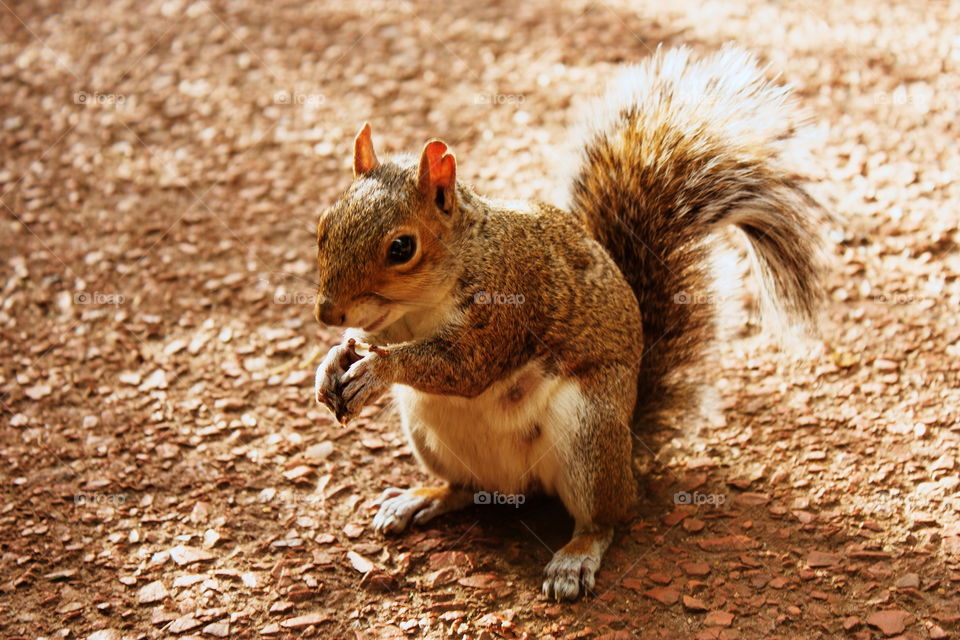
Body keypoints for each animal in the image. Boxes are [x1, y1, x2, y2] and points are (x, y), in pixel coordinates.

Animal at [312, 46, 823, 601]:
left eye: (402, 248)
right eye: (323, 225)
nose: (327, 313)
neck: (417, 309)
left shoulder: (510, 303)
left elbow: (463, 368)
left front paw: (376, 371)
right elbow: (370, 341)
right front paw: (333, 361)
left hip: (588, 436)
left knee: (605, 517)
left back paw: (575, 557)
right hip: (429, 434)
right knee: (464, 489)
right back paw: (422, 498)